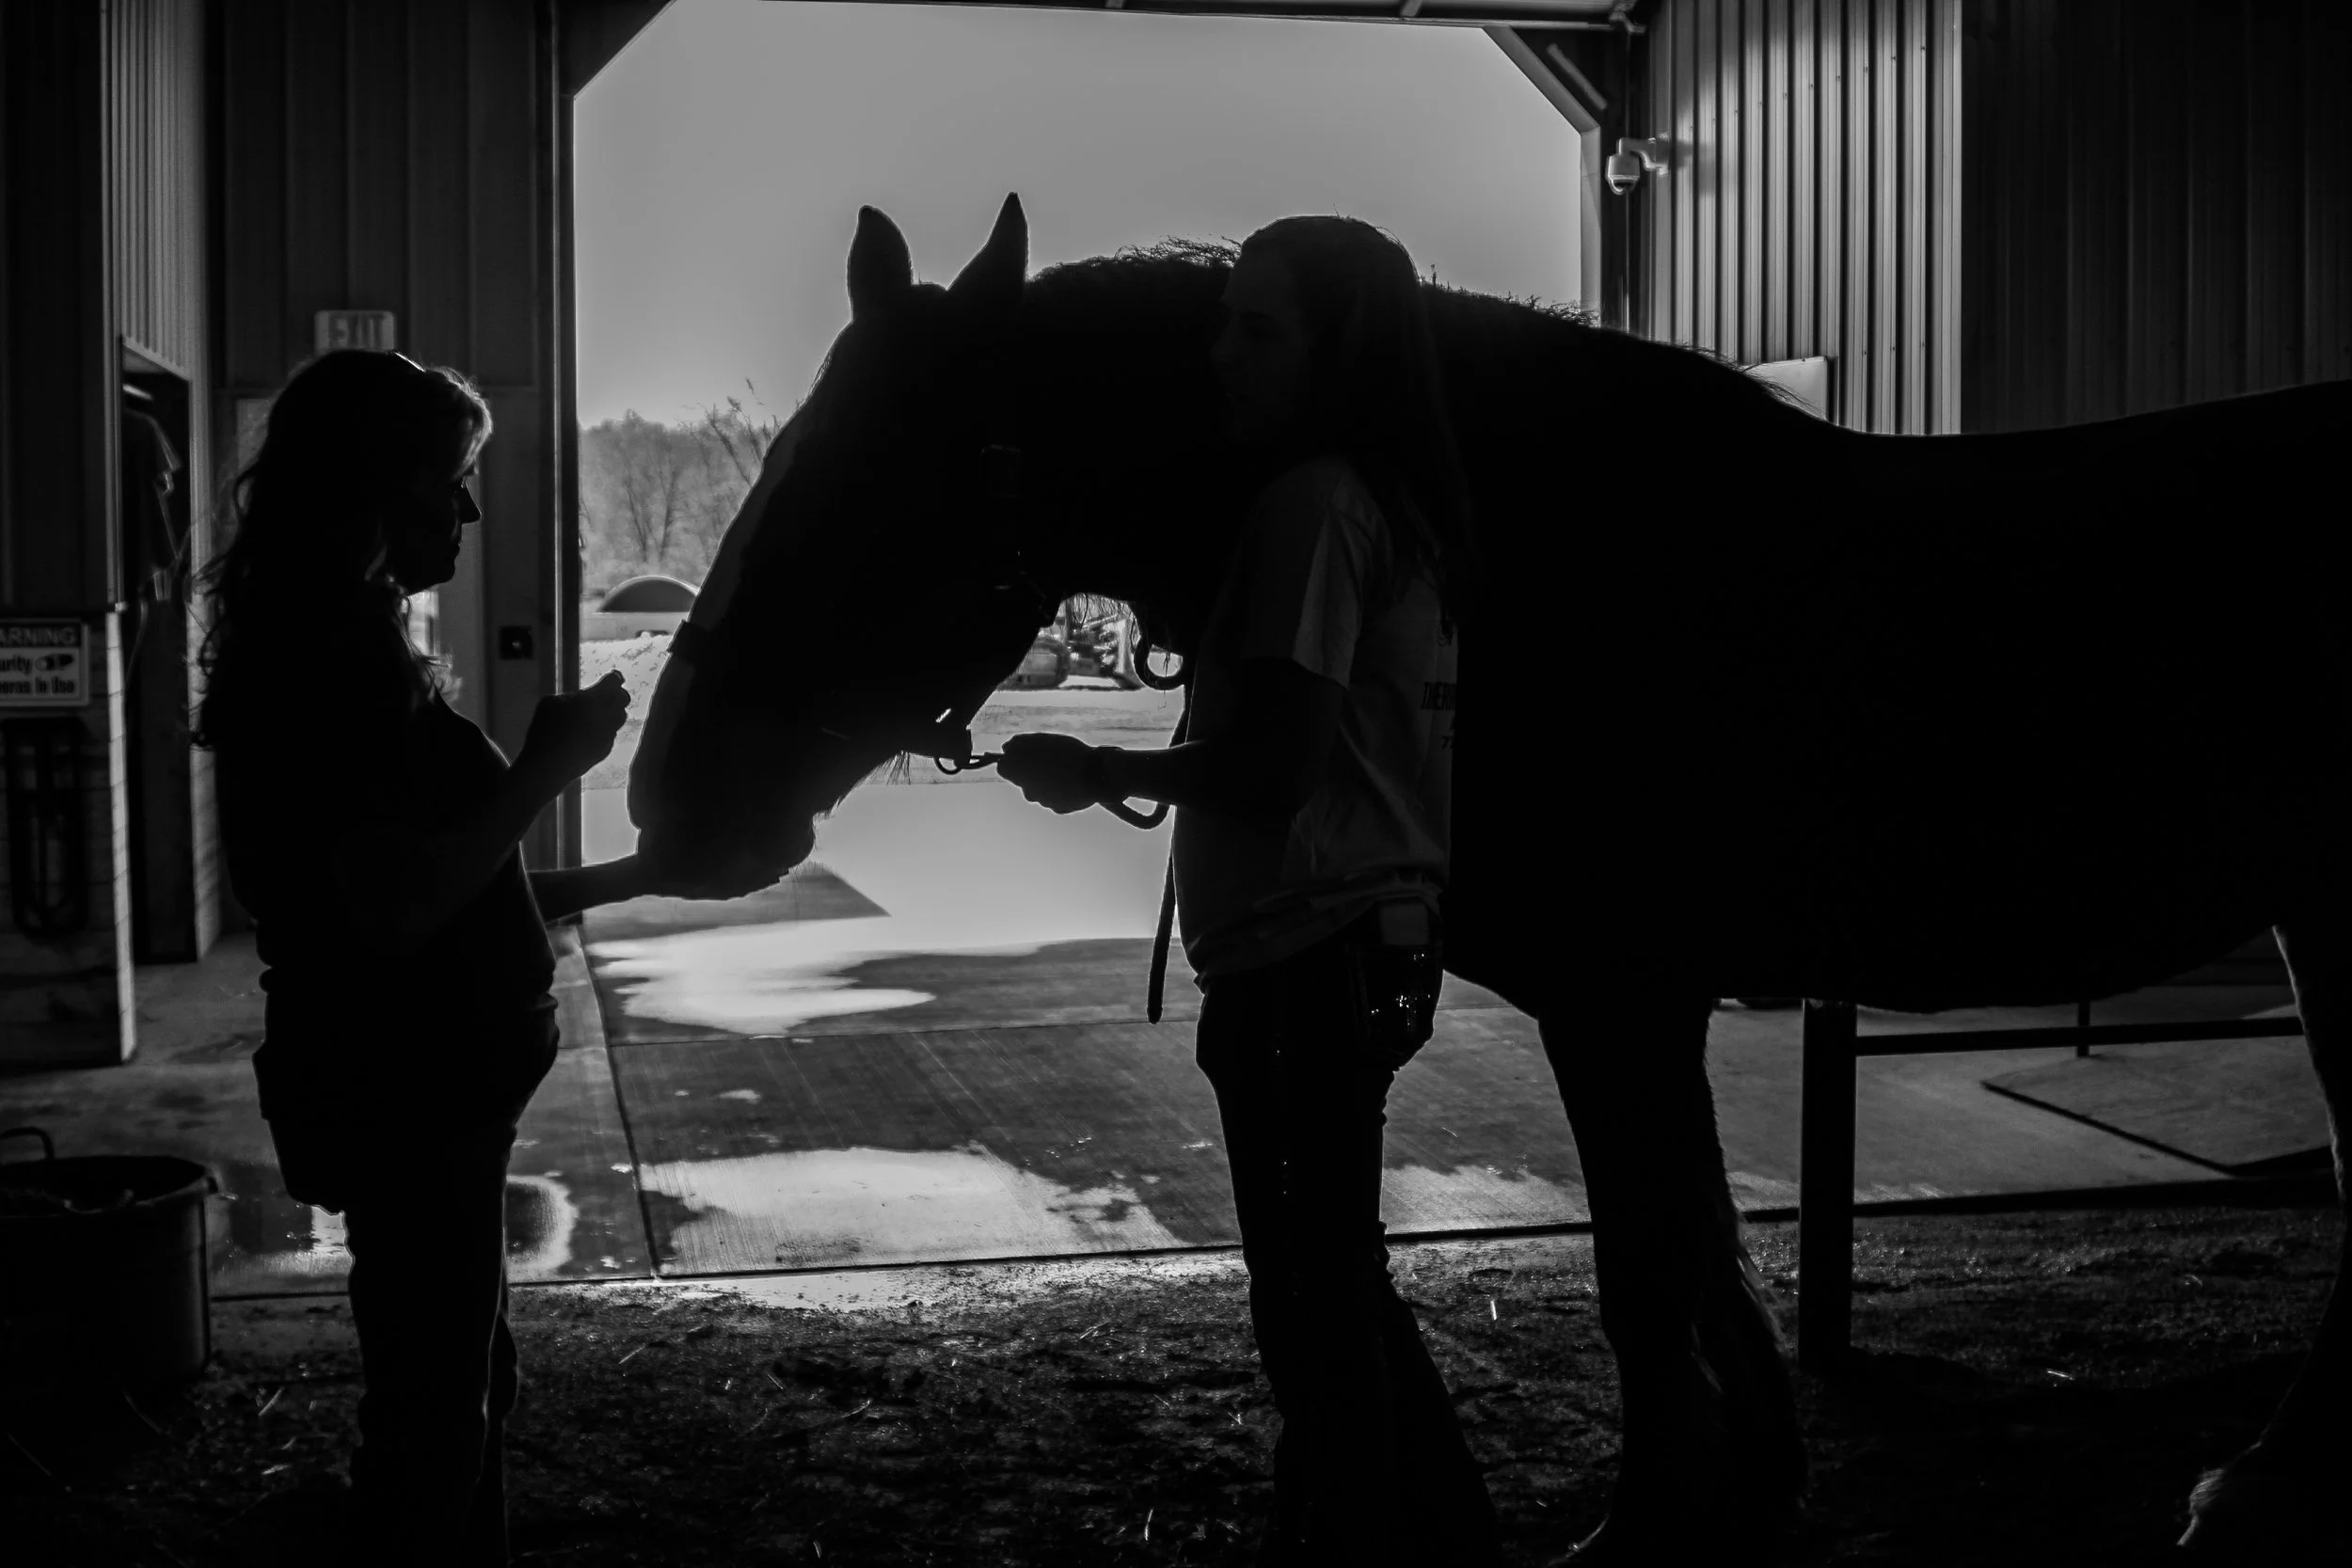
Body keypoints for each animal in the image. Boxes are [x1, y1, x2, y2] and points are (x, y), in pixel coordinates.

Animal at [627, 193, 2352, 1562]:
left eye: (914, 474)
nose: (670, 799)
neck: (1518, 550)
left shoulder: (1618, 998)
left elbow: (1644, 1265)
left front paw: (1647, 1524)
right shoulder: (1640, 1009)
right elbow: (1695, 1246)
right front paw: (1749, 1477)